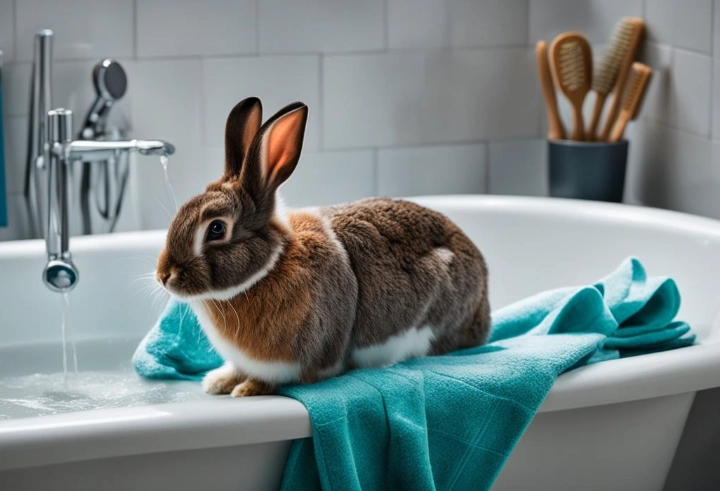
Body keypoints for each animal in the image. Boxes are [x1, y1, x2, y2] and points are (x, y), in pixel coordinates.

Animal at [156, 97, 490, 397]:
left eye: (216, 229)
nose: (164, 276)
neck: (270, 268)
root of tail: (483, 308)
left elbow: (280, 378)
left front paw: (248, 389)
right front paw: (219, 382)